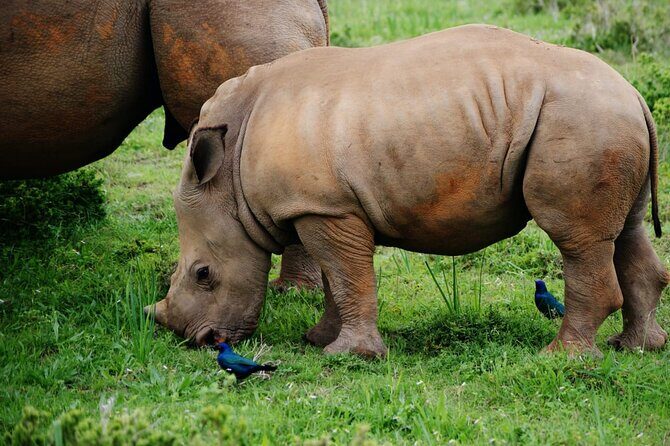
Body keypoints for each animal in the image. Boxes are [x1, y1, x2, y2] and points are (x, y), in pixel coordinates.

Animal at [150, 25, 668, 357]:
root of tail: (635, 94)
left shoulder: (324, 208)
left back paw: (562, 357)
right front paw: (319, 341)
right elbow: (337, 278)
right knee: (626, 230)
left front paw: (348, 356)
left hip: (582, 119)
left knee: (578, 240)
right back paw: (635, 348)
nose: (195, 340)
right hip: (606, 120)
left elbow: (348, 276)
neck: (230, 181)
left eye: (202, 274)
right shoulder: (321, 207)